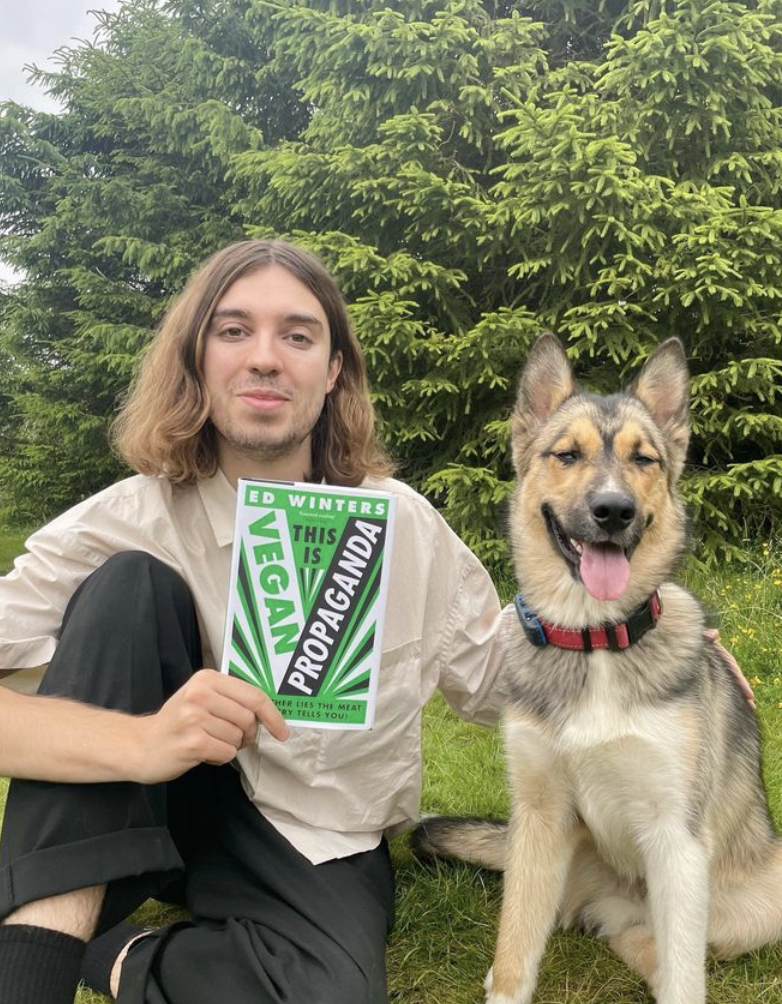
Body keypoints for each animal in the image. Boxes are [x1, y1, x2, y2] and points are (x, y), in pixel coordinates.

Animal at [413, 337, 782, 1003]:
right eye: (567, 454)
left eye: (644, 459)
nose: (614, 511)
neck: (596, 641)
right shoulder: (539, 815)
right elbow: (514, 952)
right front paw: (504, 982)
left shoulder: (675, 838)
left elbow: (686, 975)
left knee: (670, 945)